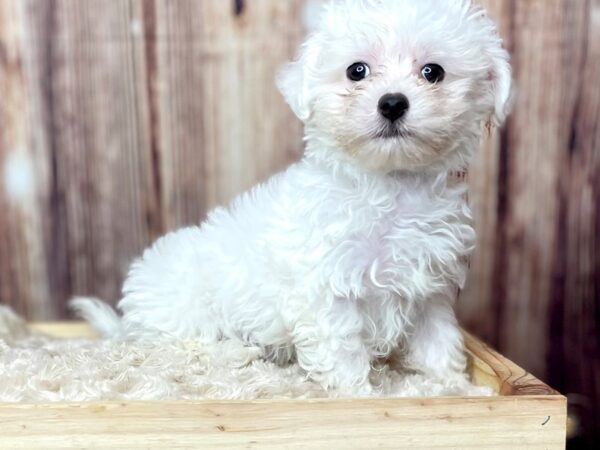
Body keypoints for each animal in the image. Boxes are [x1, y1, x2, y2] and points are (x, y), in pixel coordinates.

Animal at [70, 0, 510, 394]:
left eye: (433, 72)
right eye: (357, 71)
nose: (392, 103)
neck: (391, 186)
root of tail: (129, 319)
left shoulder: (429, 292)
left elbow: (438, 342)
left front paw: (453, 387)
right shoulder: (328, 290)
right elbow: (343, 349)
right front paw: (360, 396)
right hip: (186, 313)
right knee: (188, 348)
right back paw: (236, 351)